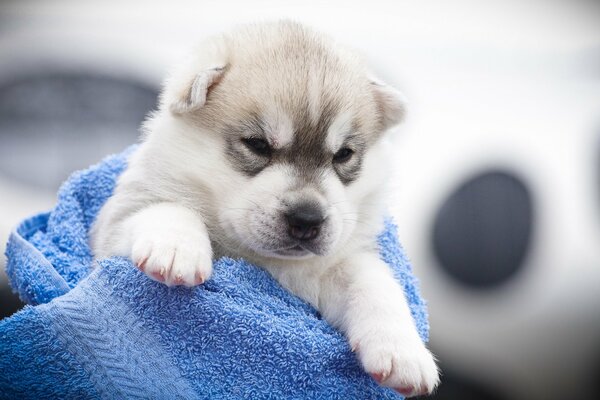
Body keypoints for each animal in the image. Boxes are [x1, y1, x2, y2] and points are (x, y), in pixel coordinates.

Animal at [92, 20, 440, 396]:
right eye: (257, 145)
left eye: (343, 155)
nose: (307, 219)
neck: (263, 260)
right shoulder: (116, 222)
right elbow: (168, 209)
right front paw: (174, 249)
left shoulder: (334, 265)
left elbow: (375, 281)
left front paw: (403, 350)